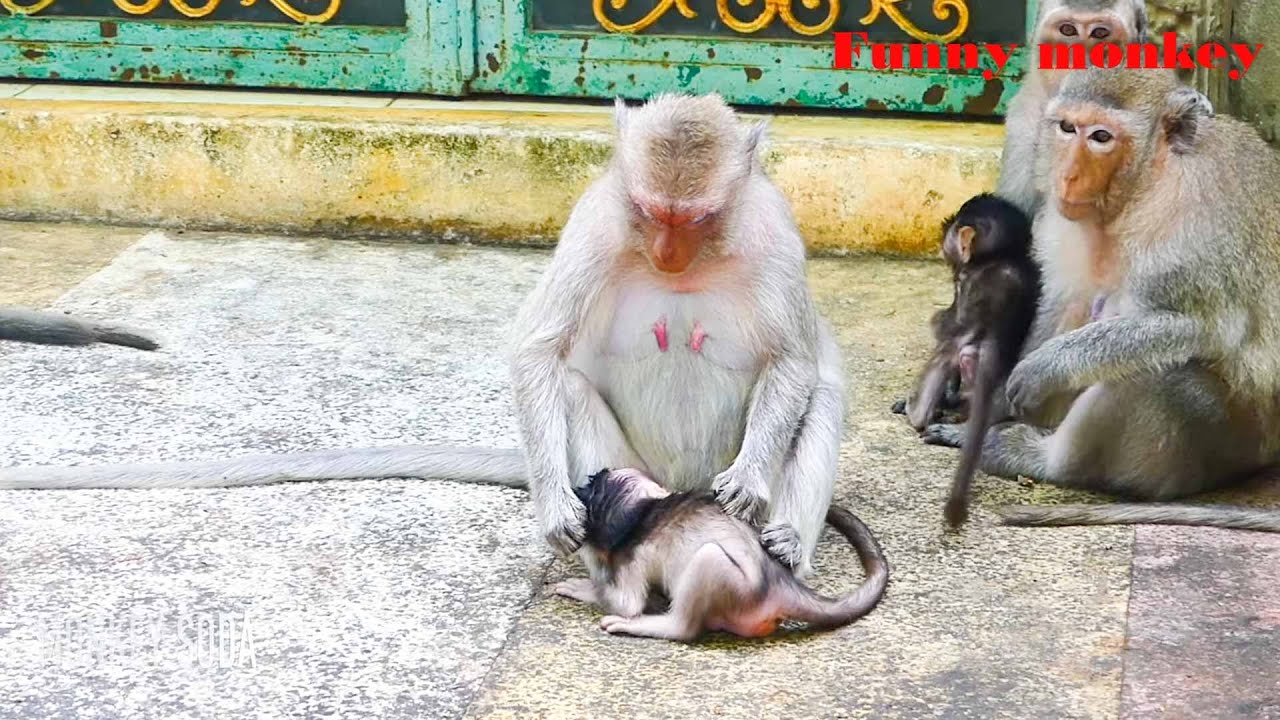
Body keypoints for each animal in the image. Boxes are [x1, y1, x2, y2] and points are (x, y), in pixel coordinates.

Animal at [552, 468, 888, 642]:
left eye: (592, 489)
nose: (580, 487)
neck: (647, 511)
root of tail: (781, 583)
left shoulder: (630, 557)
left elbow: (627, 602)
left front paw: (585, 587)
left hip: (732, 586)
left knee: (705, 570)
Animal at [900, 195, 1039, 526]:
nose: (945, 230)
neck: (1001, 257)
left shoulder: (966, 285)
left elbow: (943, 326)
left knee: (949, 349)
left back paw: (920, 412)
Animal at [939, 67, 1280, 532]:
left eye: (1101, 137)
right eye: (1067, 128)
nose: (1066, 176)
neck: (1143, 190)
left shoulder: (1199, 229)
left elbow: (1204, 327)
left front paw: (1047, 367)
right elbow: (1062, 302)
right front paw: (987, 405)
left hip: (1236, 439)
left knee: (1157, 372)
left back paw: (1046, 461)